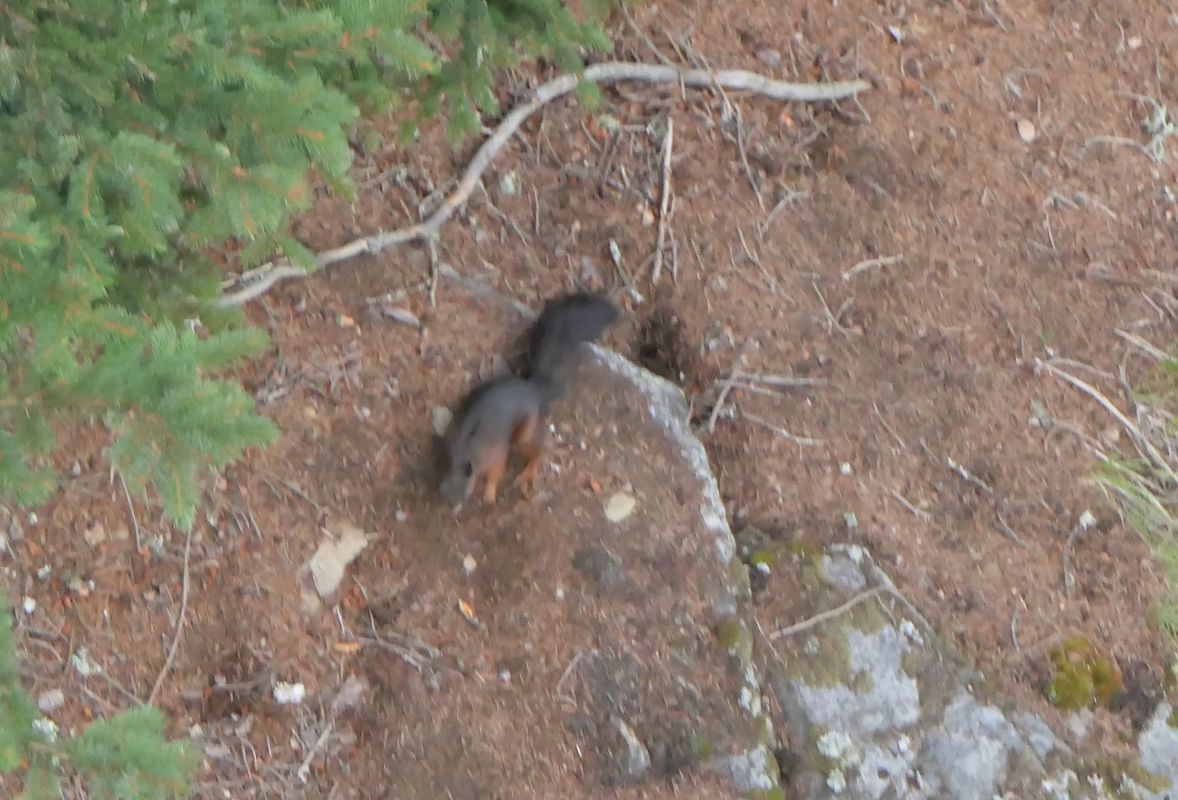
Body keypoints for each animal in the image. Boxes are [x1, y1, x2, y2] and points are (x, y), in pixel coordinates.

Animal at [439, 291, 620, 508]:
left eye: (466, 491)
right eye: (444, 491)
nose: (454, 507)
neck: (466, 451)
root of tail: (535, 389)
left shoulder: (495, 452)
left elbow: (496, 472)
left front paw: (489, 494)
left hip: (526, 434)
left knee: (538, 452)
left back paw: (527, 473)